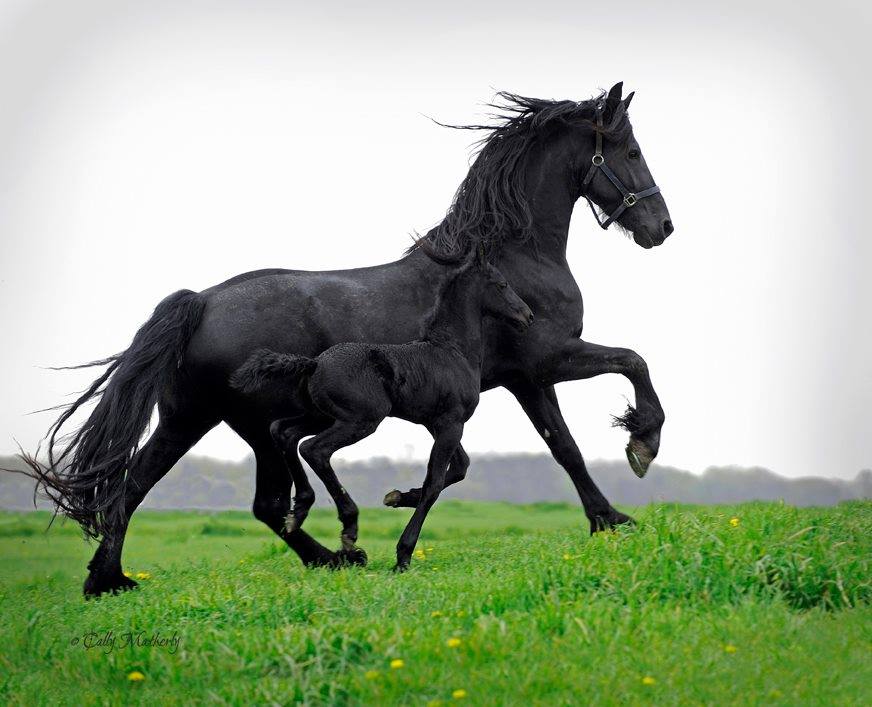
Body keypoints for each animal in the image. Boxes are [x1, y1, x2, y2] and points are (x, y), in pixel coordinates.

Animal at [232, 252, 532, 572]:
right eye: (502, 284)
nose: (528, 316)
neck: (452, 351)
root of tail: (314, 363)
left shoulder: (435, 423)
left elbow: (460, 467)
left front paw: (398, 497)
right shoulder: (451, 422)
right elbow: (435, 483)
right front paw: (403, 555)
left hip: (321, 416)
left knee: (283, 432)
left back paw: (298, 511)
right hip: (360, 420)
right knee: (314, 449)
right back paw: (349, 527)